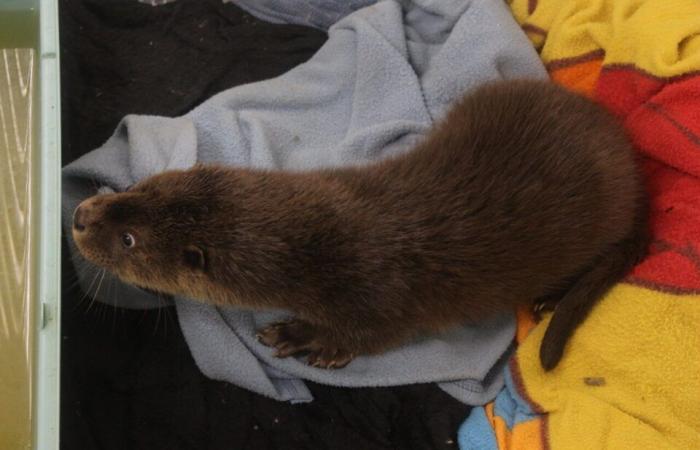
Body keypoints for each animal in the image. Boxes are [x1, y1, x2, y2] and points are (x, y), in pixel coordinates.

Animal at [72, 79, 652, 370]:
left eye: (128, 240)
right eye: (140, 188)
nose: (80, 216)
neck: (323, 241)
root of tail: (631, 160)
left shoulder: (380, 301)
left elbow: (365, 337)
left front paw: (300, 337)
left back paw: (550, 298)